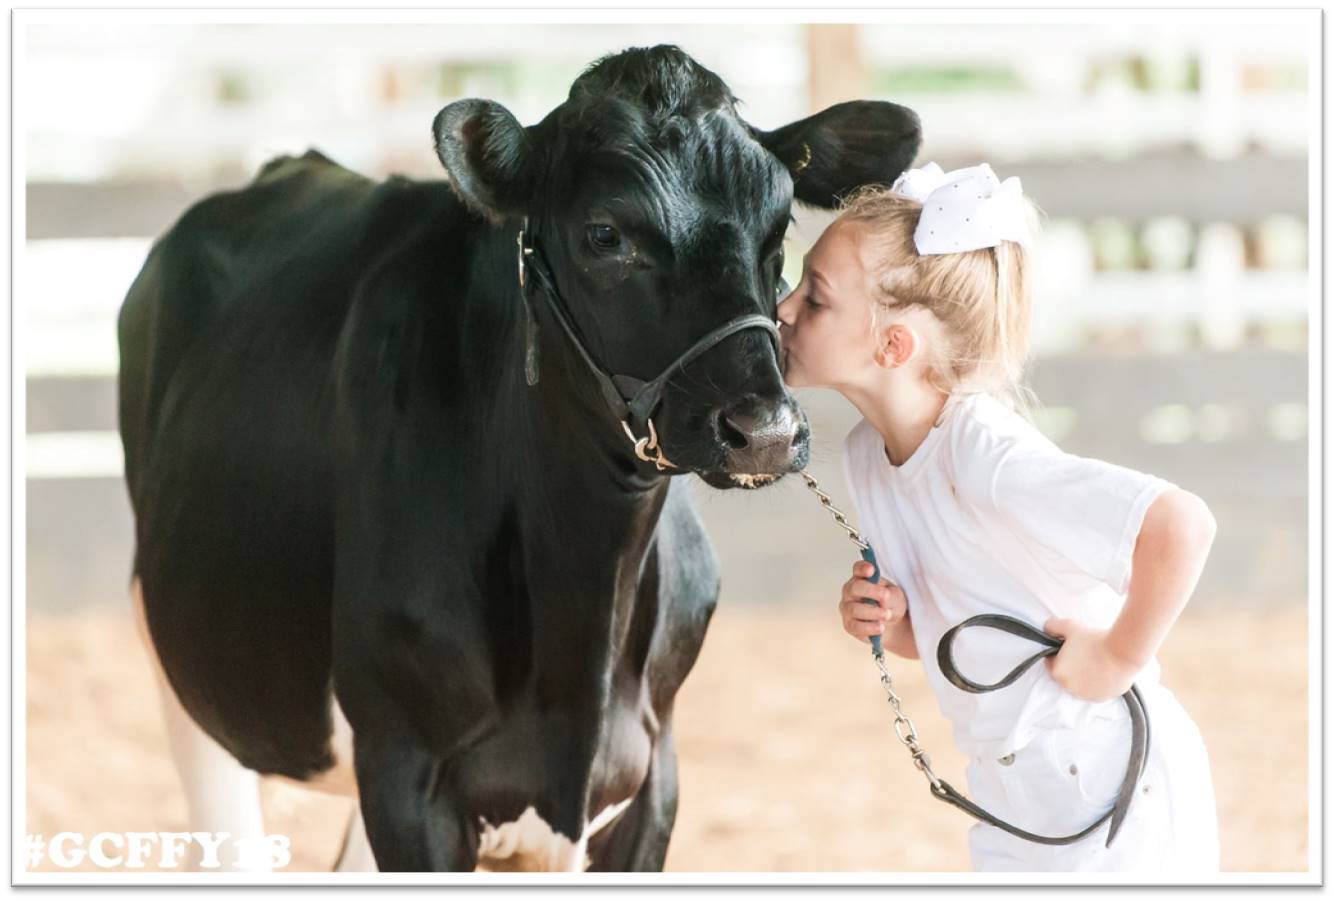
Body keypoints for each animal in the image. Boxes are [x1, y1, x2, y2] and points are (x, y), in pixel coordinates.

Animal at [120, 44, 923, 875]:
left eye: (779, 226)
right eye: (604, 233)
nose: (763, 429)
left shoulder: (652, 773)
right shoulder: (406, 775)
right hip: (186, 673)